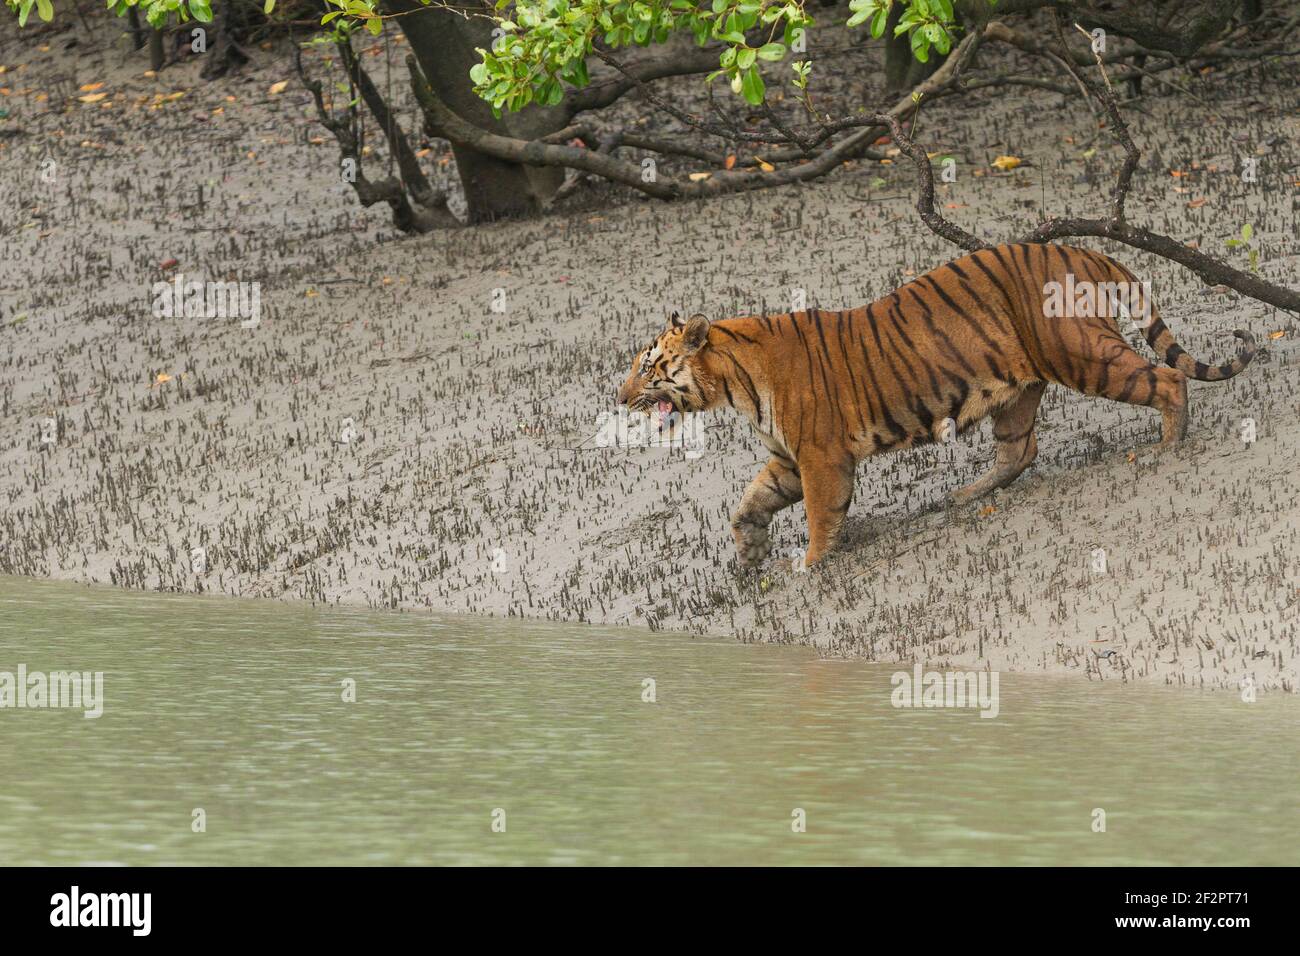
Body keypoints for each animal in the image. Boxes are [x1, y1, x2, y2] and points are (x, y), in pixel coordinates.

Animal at [613, 243, 1253, 567]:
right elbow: (749, 502)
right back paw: (964, 496)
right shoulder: (789, 459)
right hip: (1018, 392)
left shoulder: (820, 457)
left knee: (1166, 380)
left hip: (1080, 353)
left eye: (647, 366)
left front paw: (811, 566)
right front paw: (748, 553)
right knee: (1020, 452)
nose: (617, 397)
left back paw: (1170, 445)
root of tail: (1081, 247)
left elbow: (821, 515)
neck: (736, 383)